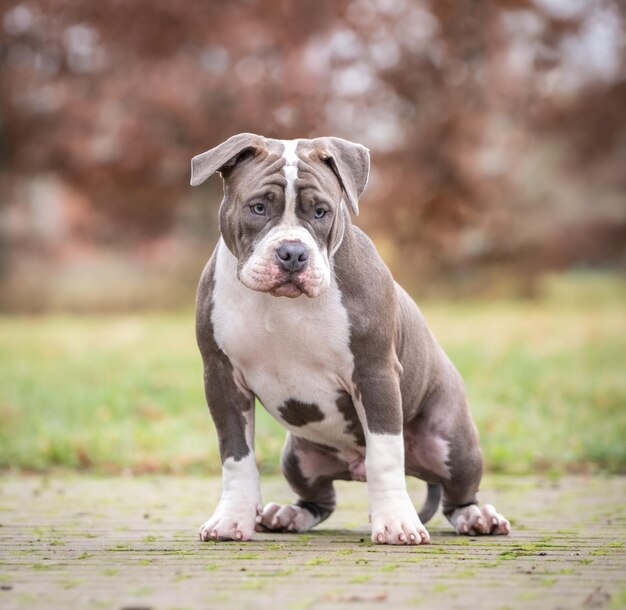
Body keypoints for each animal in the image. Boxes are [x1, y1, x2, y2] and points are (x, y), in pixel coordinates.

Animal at [190, 133, 508, 540]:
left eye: (321, 212)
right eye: (258, 207)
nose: (292, 253)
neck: (282, 305)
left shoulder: (374, 373)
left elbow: (385, 456)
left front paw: (396, 522)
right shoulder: (221, 377)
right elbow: (237, 456)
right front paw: (232, 519)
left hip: (453, 442)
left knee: (456, 495)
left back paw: (478, 517)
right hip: (298, 456)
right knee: (320, 500)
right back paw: (288, 514)